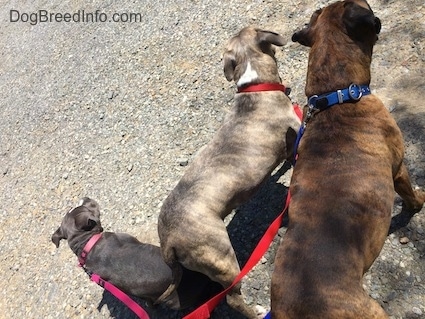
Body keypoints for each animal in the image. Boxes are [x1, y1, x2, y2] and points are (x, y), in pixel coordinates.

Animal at [157, 26, 300, 318]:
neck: (254, 85)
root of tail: (167, 240)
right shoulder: (297, 124)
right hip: (222, 257)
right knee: (232, 298)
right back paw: (257, 310)